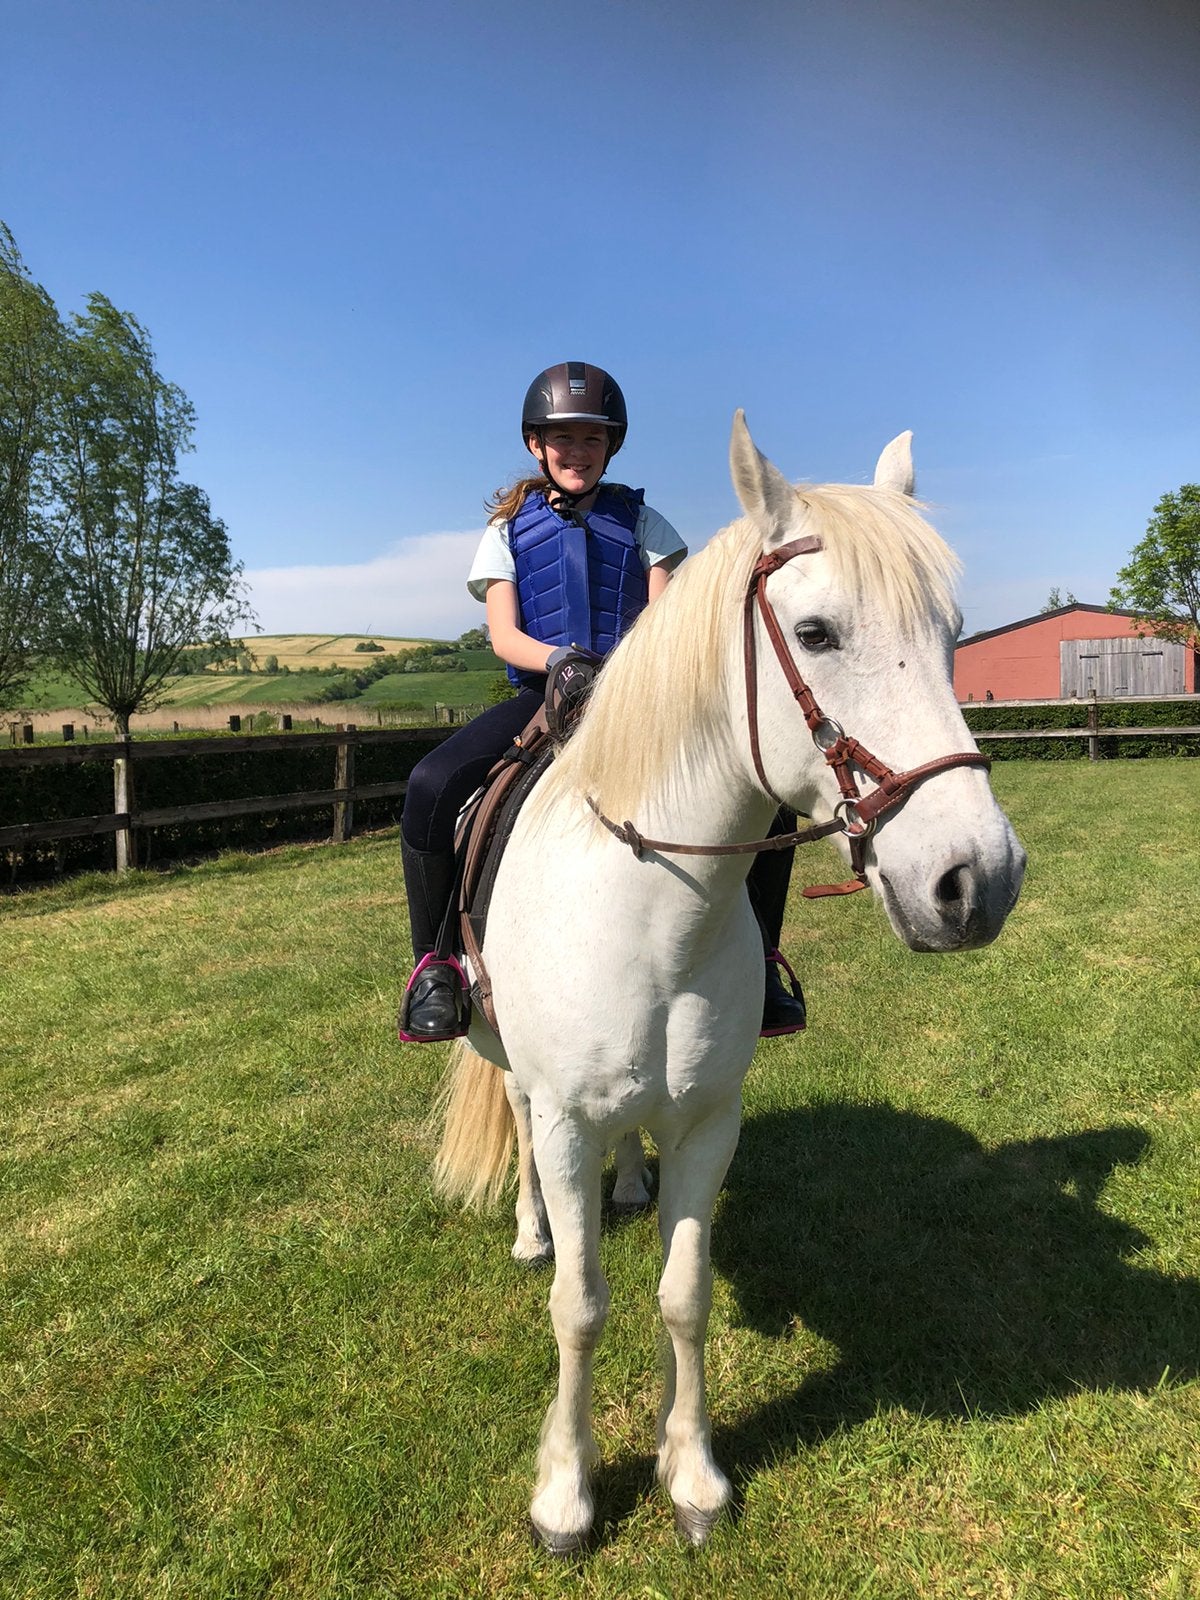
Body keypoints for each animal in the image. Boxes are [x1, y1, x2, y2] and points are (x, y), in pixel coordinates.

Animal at [431, 414, 1026, 1553]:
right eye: (818, 632)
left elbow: (683, 1294)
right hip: (500, 1049)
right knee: (517, 1119)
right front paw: (566, 1492)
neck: (649, 909)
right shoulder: (567, 1115)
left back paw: (628, 1181)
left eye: (952, 632)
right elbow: (580, 1304)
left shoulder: (711, 1119)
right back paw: (530, 1228)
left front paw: (694, 1475)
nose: (978, 880)